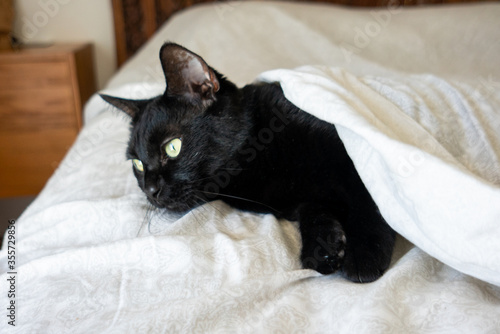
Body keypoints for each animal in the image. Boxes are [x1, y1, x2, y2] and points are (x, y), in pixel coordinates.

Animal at [101, 41, 396, 282]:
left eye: (172, 147)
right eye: (137, 164)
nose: (150, 190)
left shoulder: (350, 149)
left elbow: (369, 196)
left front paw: (364, 255)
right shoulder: (304, 199)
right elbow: (314, 210)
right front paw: (324, 248)